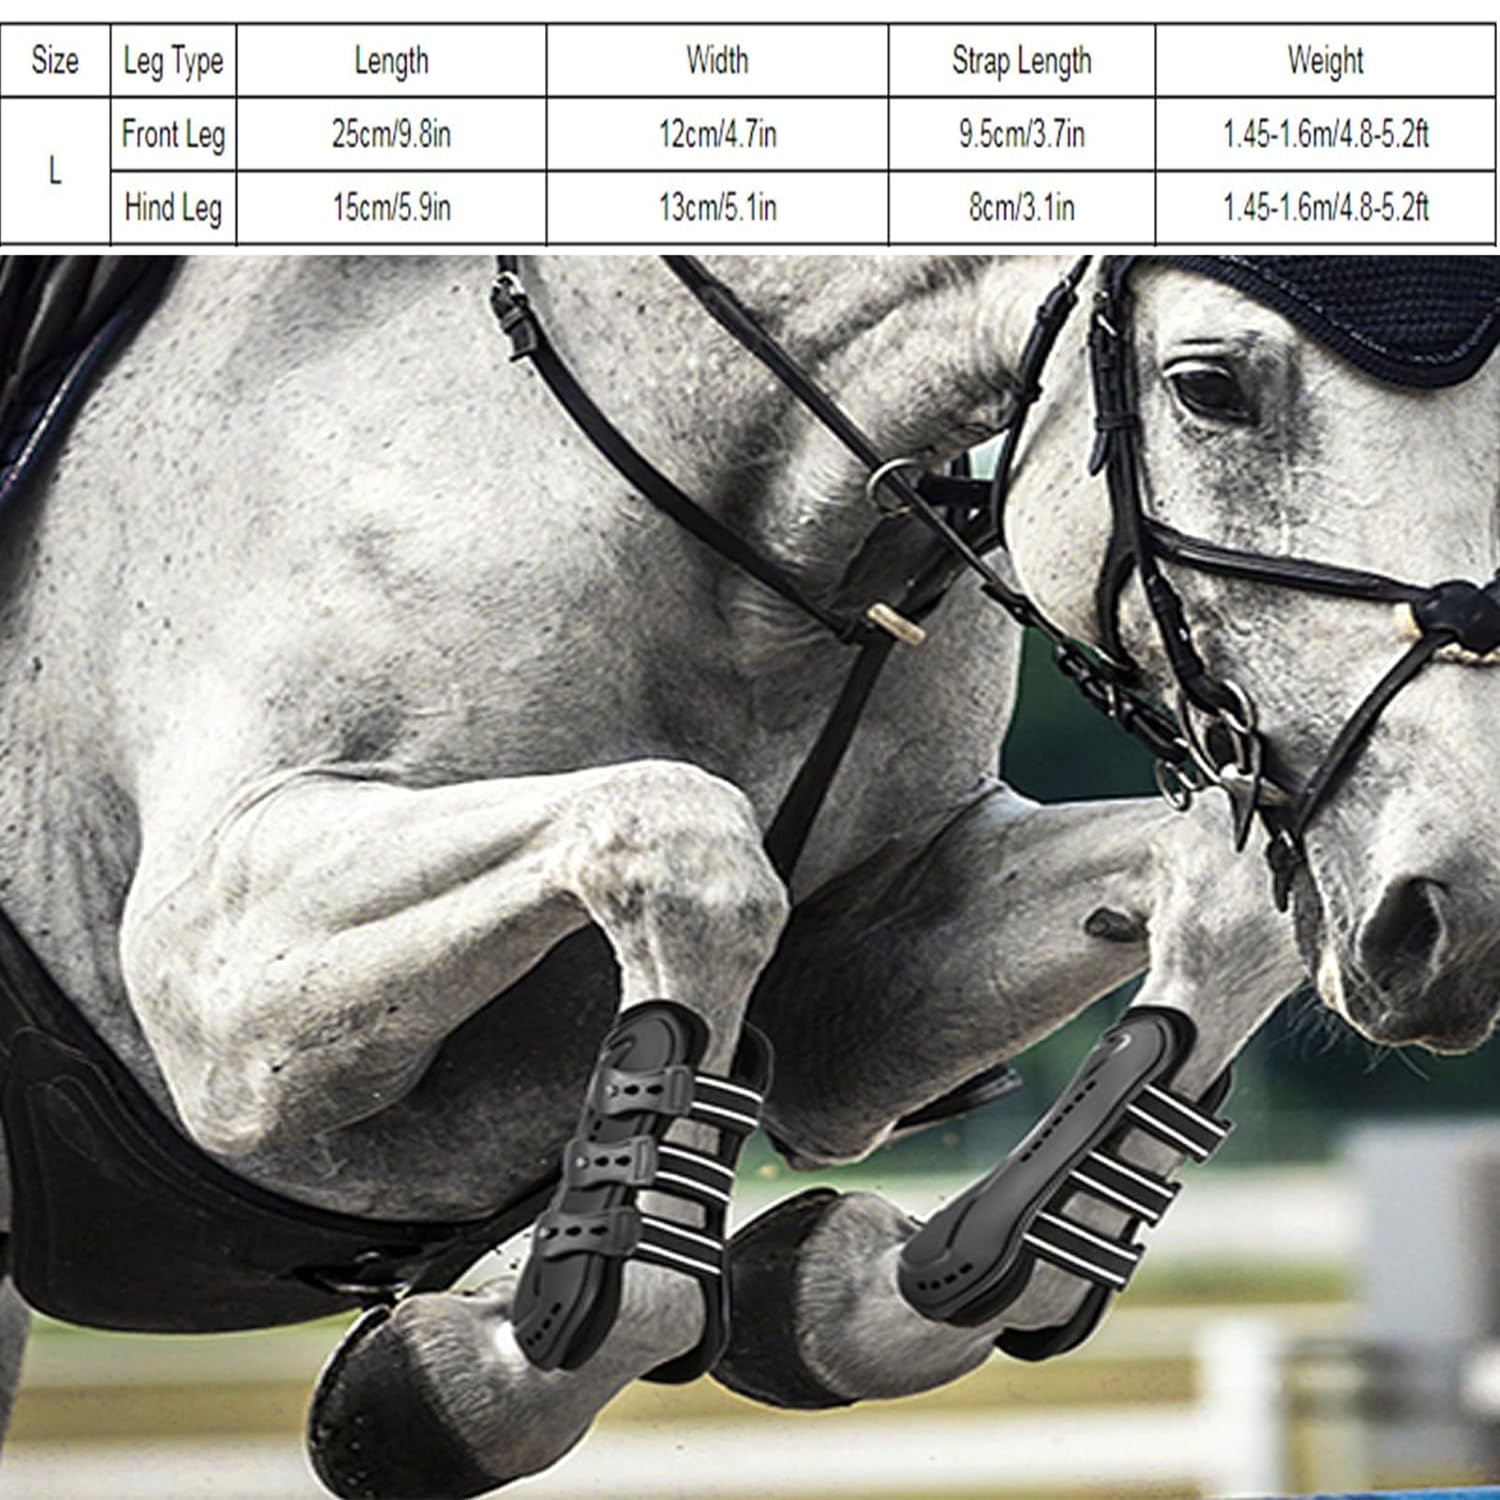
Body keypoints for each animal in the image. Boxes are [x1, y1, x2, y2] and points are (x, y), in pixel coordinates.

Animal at [0, 253, 1493, 1498]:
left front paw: (840, 1284)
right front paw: (461, 1376)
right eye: (1208, 387)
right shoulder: (221, 995)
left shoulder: (861, 995)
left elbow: (1229, 904)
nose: (1457, 924)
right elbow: (688, 845)